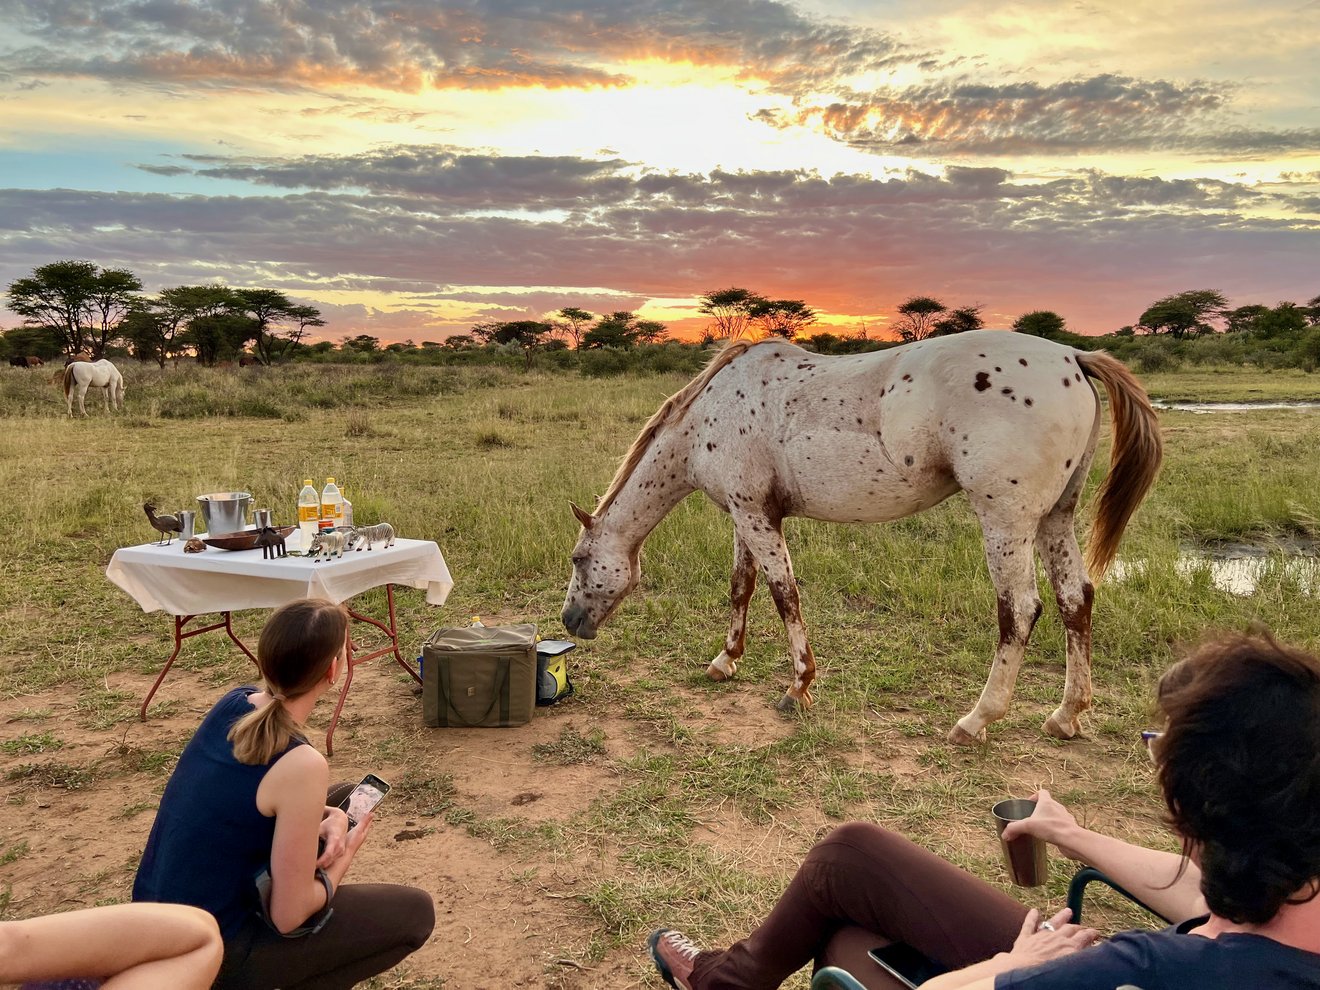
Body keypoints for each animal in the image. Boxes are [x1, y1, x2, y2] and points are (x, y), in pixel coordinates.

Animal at [562, 333, 1161, 744]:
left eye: (578, 559)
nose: (570, 622)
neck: (713, 412)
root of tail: (1072, 357)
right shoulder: (745, 515)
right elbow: (741, 587)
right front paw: (725, 660)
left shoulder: (756, 517)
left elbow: (784, 595)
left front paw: (798, 687)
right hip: (1056, 518)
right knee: (1074, 600)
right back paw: (1066, 715)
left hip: (1006, 522)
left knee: (1019, 610)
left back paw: (975, 721)